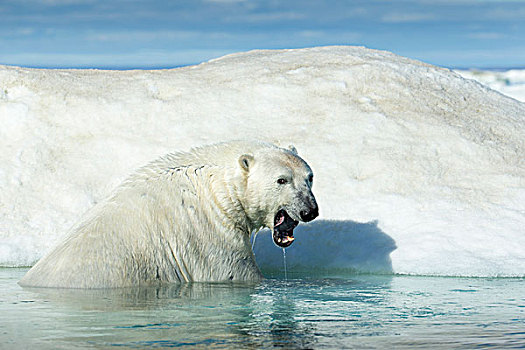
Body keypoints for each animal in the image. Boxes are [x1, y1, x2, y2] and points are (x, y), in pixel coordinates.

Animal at [18, 141, 318, 288]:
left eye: (309, 177)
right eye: (281, 180)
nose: (309, 210)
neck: (216, 188)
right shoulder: (207, 234)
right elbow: (234, 272)